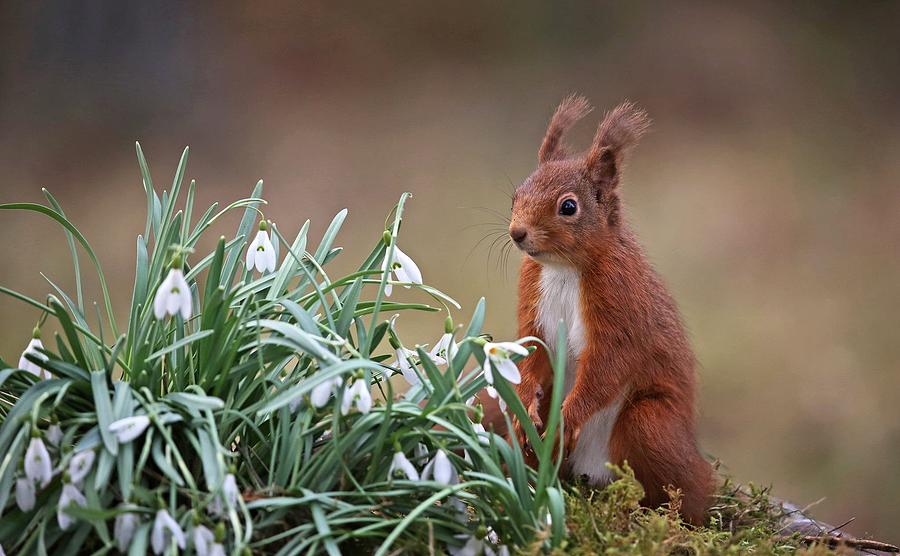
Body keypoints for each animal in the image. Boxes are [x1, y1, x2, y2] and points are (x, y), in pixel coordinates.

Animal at [510, 96, 712, 524]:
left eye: (568, 206)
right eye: (516, 194)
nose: (517, 233)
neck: (564, 268)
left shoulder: (621, 302)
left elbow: (608, 365)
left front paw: (569, 417)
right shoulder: (531, 296)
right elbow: (533, 347)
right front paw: (525, 399)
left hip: (651, 424)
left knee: (685, 493)